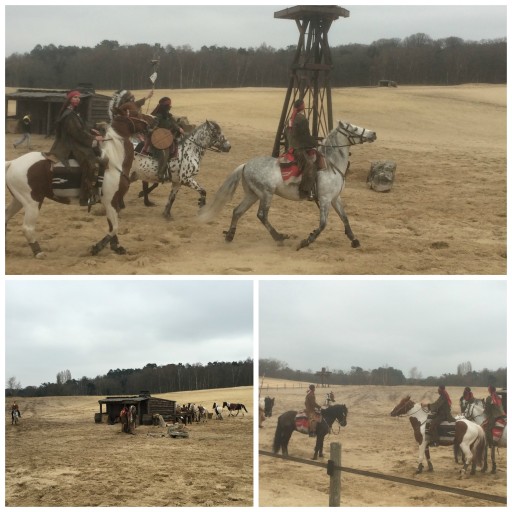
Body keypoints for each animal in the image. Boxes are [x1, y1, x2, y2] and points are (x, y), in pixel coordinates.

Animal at [5, 109, 153, 258]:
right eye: (136, 113)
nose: (152, 122)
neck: (112, 162)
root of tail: (13, 163)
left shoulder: (114, 202)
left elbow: (112, 226)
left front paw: (116, 247)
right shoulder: (110, 200)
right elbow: (114, 227)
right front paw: (96, 248)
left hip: (19, 200)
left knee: (6, 217)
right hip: (32, 202)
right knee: (27, 228)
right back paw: (39, 252)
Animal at [200, 119, 376, 249]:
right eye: (353, 128)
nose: (373, 133)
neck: (331, 164)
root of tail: (245, 165)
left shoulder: (335, 198)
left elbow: (345, 218)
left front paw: (354, 240)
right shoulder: (325, 199)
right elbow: (323, 224)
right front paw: (306, 241)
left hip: (253, 195)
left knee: (237, 211)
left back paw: (230, 236)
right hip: (266, 194)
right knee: (262, 215)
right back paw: (279, 237)